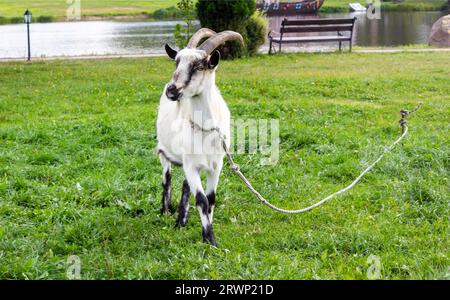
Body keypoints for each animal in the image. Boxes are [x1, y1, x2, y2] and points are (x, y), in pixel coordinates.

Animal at [156, 27, 244, 246]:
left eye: (199, 65)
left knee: (185, 186)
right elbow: (202, 200)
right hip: (164, 151)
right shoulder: (190, 164)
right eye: (176, 62)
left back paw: (181, 220)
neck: (205, 130)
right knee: (167, 179)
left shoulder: (216, 165)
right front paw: (210, 240)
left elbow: (211, 199)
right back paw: (166, 212)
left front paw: (207, 235)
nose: (171, 90)